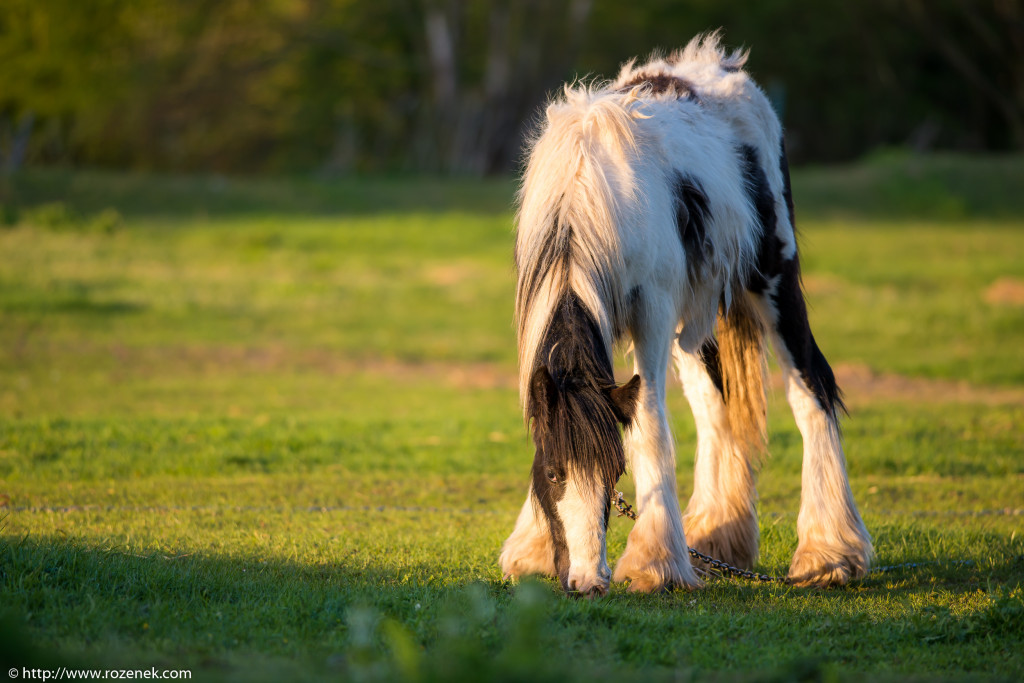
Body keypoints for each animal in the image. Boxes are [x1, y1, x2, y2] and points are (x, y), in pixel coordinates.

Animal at [495, 34, 872, 593]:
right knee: (716, 407)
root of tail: (721, 65)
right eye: (556, 474)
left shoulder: (651, 309)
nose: (587, 581)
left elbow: (649, 422)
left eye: (614, 476)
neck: (584, 190)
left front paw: (653, 563)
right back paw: (716, 535)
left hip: (773, 281)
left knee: (812, 387)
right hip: (698, 320)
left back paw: (830, 553)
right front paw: (533, 547)